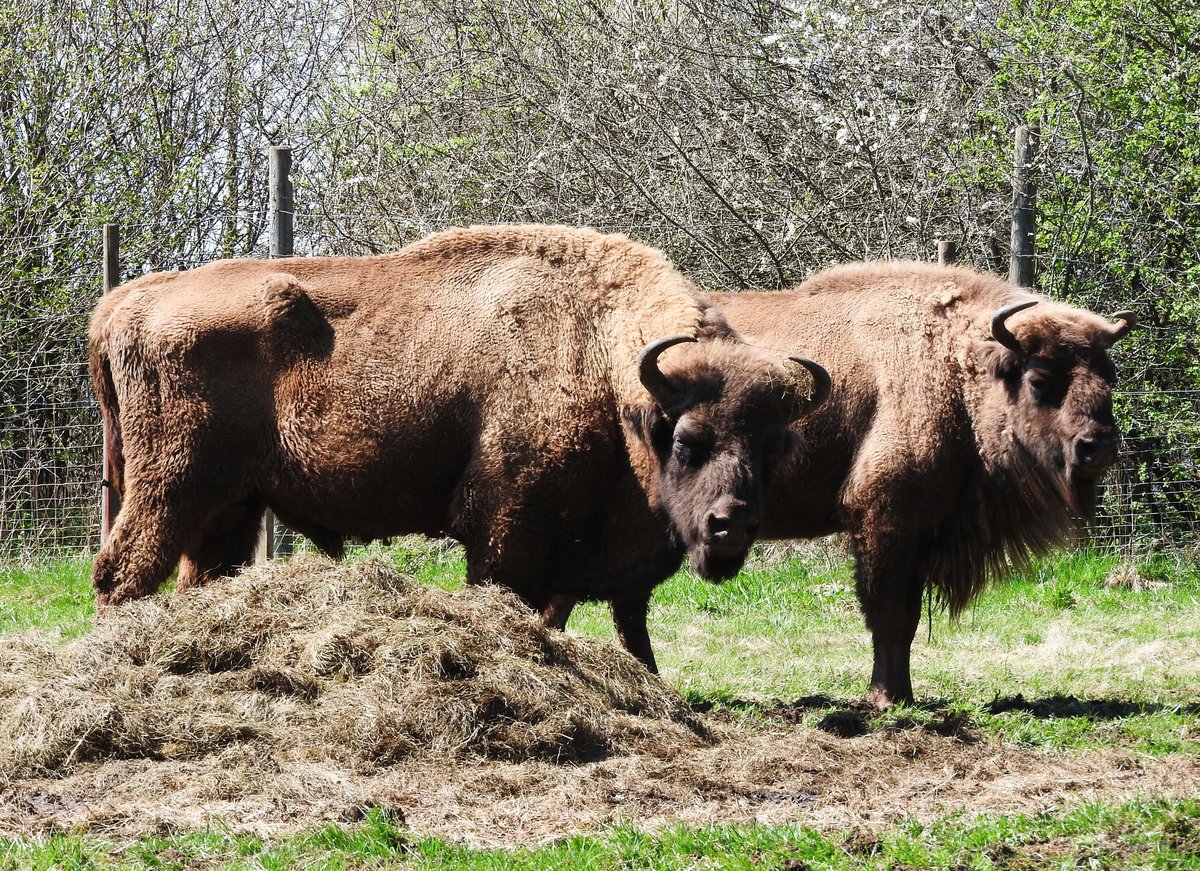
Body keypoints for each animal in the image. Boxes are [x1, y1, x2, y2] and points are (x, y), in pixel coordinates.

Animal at [91, 223, 825, 667]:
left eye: (774, 446)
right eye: (689, 439)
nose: (733, 524)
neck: (602, 354)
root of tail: (123, 302)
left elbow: (623, 621)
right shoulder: (507, 528)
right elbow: (514, 599)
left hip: (232, 504)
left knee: (196, 576)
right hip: (171, 488)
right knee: (120, 573)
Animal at [710, 261, 1132, 710]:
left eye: (1109, 377)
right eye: (1039, 379)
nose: (1098, 446)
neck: (959, 365)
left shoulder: (919, 532)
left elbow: (908, 620)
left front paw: (905, 694)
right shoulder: (885, 520)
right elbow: (888, 612)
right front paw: (884, 697)